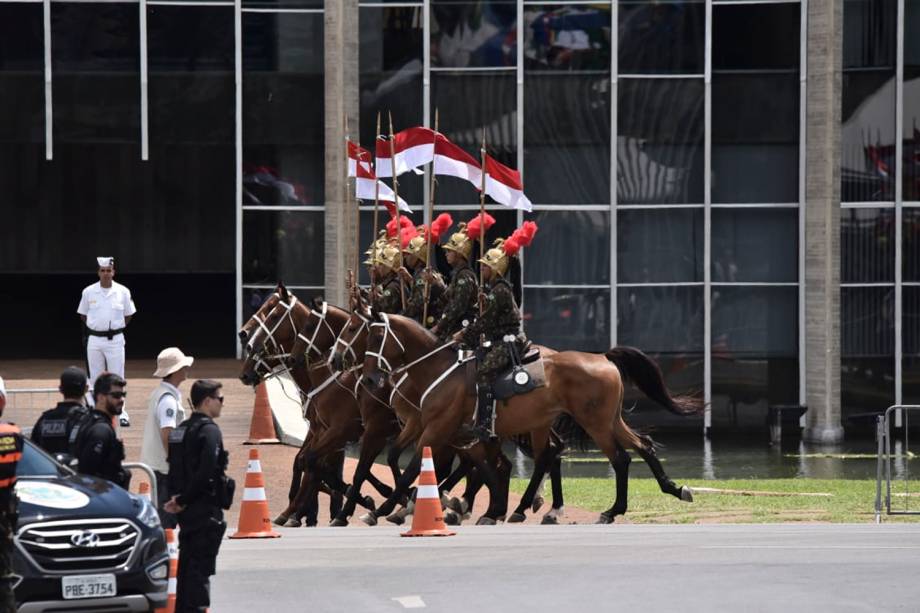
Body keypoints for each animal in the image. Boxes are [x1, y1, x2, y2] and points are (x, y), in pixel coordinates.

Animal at [358, 314, 696, 524]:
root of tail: (602, 357)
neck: (436, 370)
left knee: (619, 458)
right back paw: (673, 488)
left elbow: (411, 470)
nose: (370, 378)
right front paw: (483, 508)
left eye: (376, 337)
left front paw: (387, 508)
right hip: (601, 421)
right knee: (642, 445)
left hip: (594, 423)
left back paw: (610, 510)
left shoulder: (435, 430)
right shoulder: (453, 434)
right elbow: (479, 468)